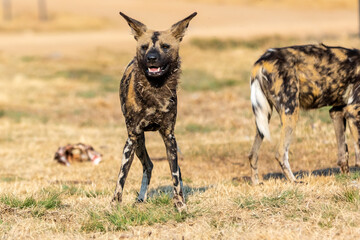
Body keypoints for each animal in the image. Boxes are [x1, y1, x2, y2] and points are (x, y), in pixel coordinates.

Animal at [112, 11, 197, 210]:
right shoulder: (132, 139)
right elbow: (121, 177)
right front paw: (114, 205)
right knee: (148, 165)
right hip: (138, 142)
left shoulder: (169, 137)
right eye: (144, 47)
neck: (155, 90)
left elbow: (175, 175)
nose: (151, 58)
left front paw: (180, 203)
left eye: (165, 46)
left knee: (172, 170)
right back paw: (140, 198)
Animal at [249, 43, 360, 184]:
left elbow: (343, 152)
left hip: (264, 116)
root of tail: (262, 61)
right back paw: (294, 181)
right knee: (280, 153)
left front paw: (346, 177)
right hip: (291, 111)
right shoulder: (353, 111)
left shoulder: (337, 112)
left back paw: (256, 182)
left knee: (253, 154)